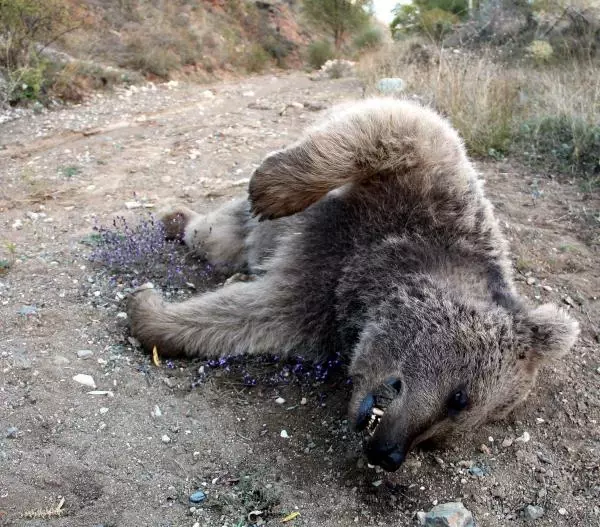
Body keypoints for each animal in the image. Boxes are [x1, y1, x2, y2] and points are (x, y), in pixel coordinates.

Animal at [127, 99, 580, 474]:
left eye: (439, 440)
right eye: (460, 398)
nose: (390, 456)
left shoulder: (316, 301)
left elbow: (247, 318)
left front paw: (152, 314)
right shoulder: (428, 191)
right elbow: (394, 126)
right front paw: (273, 188)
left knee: (217, 242)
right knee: (215, 231)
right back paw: (178, 218)